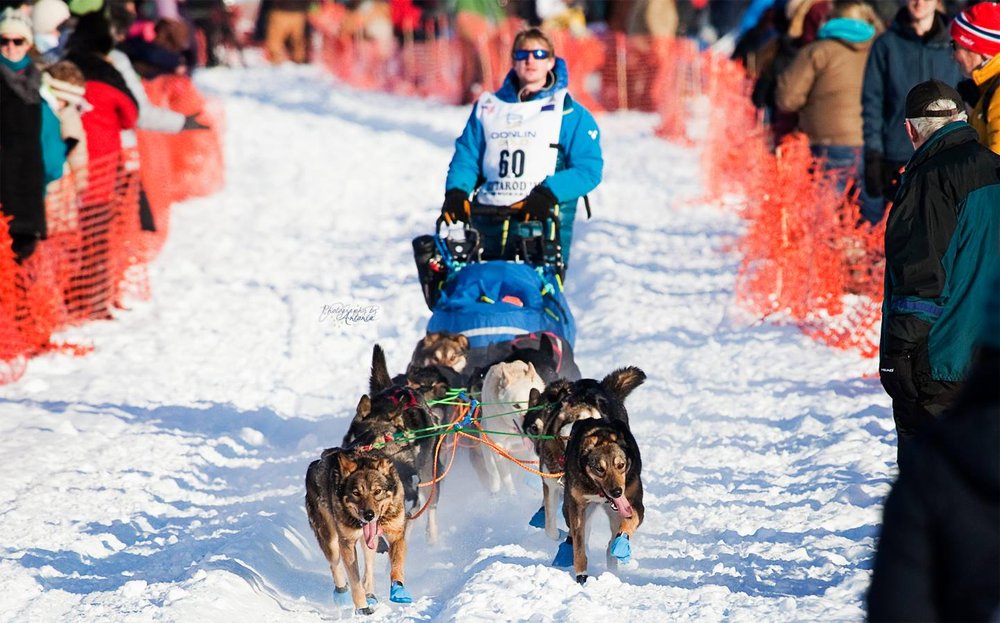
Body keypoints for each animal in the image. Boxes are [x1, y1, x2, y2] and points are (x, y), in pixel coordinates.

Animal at [304, 448, 414, 616]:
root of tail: (315, 463)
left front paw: (398, 589)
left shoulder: (396, 534)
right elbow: (355, 582)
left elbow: (397, 565)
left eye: (377, 491)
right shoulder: (347, 543)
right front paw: (362, 607)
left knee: (368, 566)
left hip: (370, 542)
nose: (369, 515)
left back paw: (370, 594)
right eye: (356, 493)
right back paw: (342, 594)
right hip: (330, 541)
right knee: (334, 564)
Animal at [564, 416, 640, 588]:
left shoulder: (635, 504)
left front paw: (620, 545)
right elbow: (579, 545)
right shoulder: (577, 507)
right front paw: (581, 575)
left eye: (621, 465)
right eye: (599, 469)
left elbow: (629, 522)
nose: (617, 492)